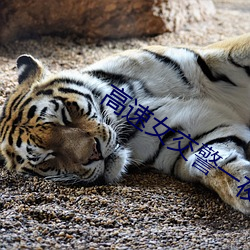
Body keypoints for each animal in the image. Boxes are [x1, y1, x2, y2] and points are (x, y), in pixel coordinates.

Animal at [1, 32, 250, 215]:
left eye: (65, 115)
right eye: (48, 158)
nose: (95, 153)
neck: (129, 105)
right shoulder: (189, 135)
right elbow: (216, 165)